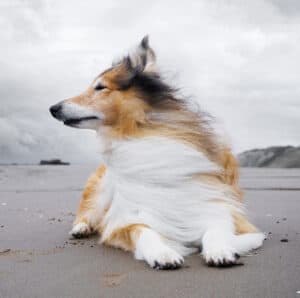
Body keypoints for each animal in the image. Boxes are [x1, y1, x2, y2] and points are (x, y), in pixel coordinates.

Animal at [50, 36, 264, 268]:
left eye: (100, 87)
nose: (53, 108)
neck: (138, 135)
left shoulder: (221, 208)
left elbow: (217, 228)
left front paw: (220, 250)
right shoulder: (124, 219)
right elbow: (143, 230)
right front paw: (163, 253)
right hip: (99, 191)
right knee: (86, 213)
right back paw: (81, 228)